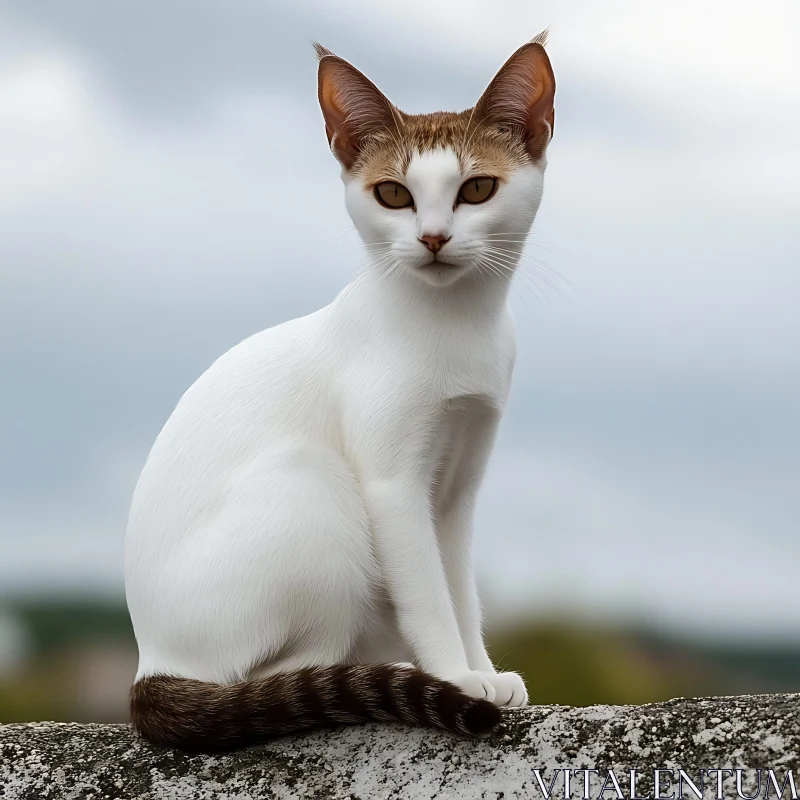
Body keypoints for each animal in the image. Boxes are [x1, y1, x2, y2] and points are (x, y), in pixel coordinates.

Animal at [126, 32, 556, 756]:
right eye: (393, 194)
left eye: (476, 189)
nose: (433, 237)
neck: (456, 327)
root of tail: (148, 662)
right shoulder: (392, 485)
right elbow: (427, 594)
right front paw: (454, 677)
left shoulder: (458, 488)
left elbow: (459, 587)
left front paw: (482, 669)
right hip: (312, 486)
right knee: (277, 676)